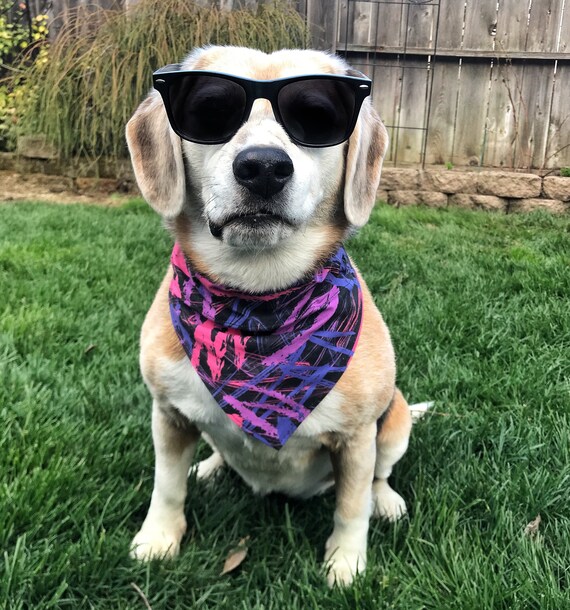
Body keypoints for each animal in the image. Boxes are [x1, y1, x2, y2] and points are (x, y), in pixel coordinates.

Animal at [126, 45, 410, 588]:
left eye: (317, 116)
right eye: (210, 110)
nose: (262, 166)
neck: (258, 302)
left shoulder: (358, 438)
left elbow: (351, 506)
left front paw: (346, 563)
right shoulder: (168, 414)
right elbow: (165, 486)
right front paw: (158, 539)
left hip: (396, 420)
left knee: (380, 477)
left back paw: (386, 500)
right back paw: (210, 466)